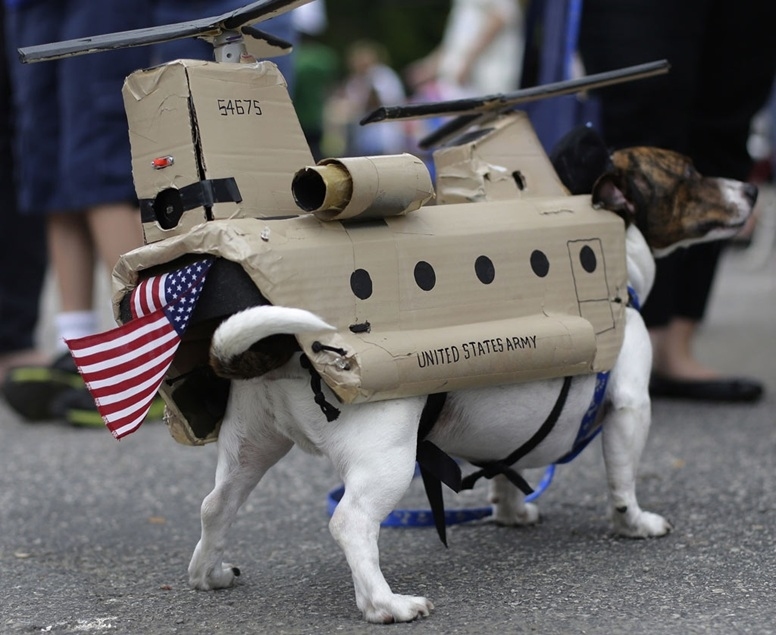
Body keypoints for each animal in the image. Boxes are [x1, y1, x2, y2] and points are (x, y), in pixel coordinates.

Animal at [186, 146, 756, 623]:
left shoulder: (504, 436)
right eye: (689, 175)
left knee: (215, 505)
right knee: (350, 523)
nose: (752, 190)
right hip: (387, 459)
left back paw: (208, 574)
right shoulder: (631, 406)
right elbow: (622, 479)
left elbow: (505, 469)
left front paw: (510, 512)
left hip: (250, 447)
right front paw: (632, 523)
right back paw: (386, 605)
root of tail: (283, 347)